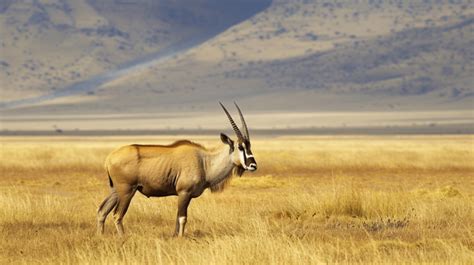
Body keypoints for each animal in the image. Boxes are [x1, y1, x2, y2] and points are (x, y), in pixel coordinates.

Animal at [96, 102, 258, 236]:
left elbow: (177, 218)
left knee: (102, 211)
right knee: (117, 215)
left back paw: (101, 236)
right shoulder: (184, 193)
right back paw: (123, 237)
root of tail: (109, 158)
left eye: (249, 146)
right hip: (127, 191)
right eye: (240, 147)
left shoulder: (185, 196)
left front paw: (175, 236)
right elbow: (182, 218)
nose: (253, 165)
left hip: (116, 190)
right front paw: (180, 238)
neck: (204, 162)